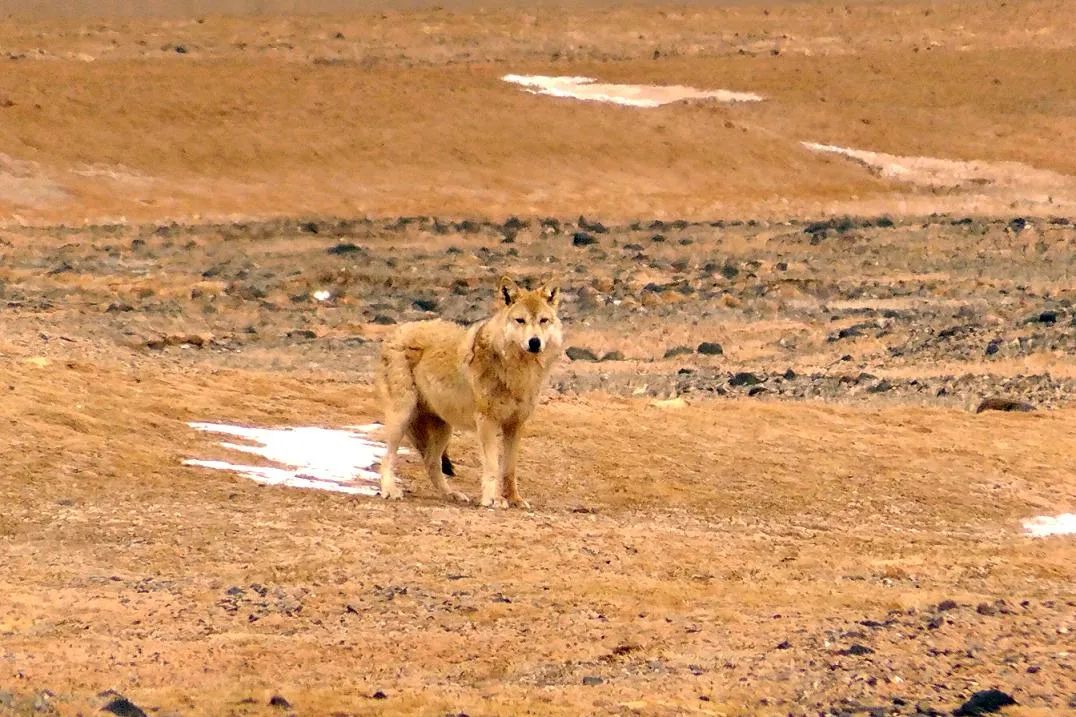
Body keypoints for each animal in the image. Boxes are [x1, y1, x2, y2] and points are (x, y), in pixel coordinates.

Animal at [376, 274, 563, 508]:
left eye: (543, 321)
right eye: (520, 320)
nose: (535, 342)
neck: (518, 371)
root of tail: (395, 331)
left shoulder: (515, 425)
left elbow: (509, 469)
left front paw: (515, 500)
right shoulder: (487, 422)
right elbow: (492, 466)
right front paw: (493, 499)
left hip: (443, 429)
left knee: (431, 462)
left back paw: (451, 494)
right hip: (402, 417)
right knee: (387, 458)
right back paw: (390, 490)